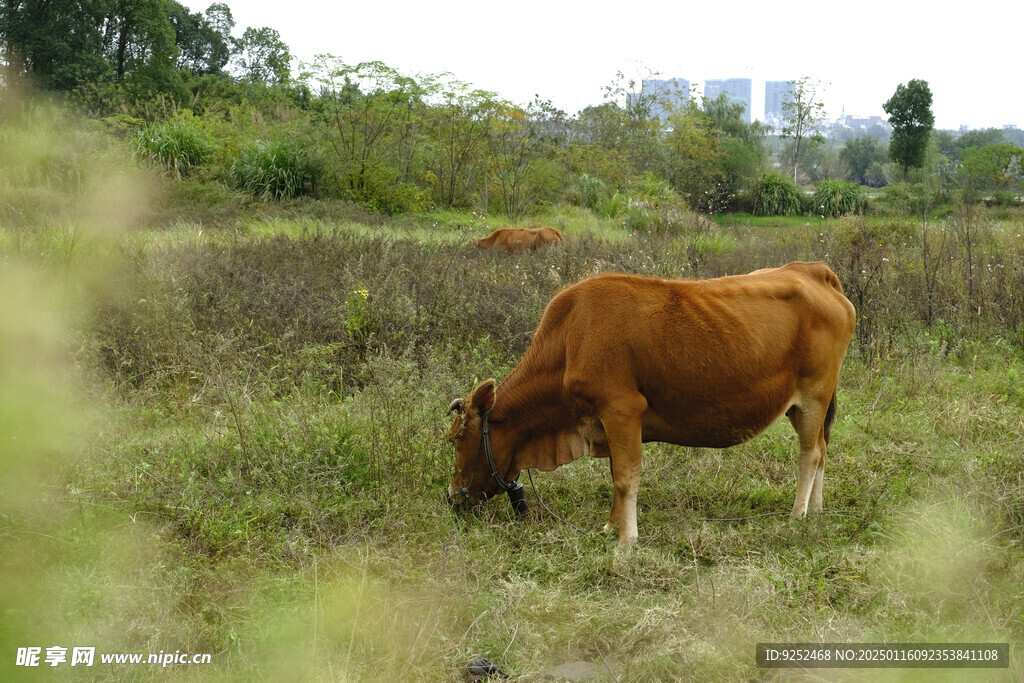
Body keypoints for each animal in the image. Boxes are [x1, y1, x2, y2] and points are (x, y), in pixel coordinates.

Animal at [446, 260, 856, 544]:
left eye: (457, 439)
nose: (451, 496)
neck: (568, 341)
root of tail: (812, 270)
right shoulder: (607, 421)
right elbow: (615, 475)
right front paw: (611, 526)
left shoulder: (622, 409)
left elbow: (626, 477)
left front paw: (627, 539)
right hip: (801, 405)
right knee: (822, 448)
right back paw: (817, 509)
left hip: (814, 395)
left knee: (810, 454)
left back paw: (798, 515)